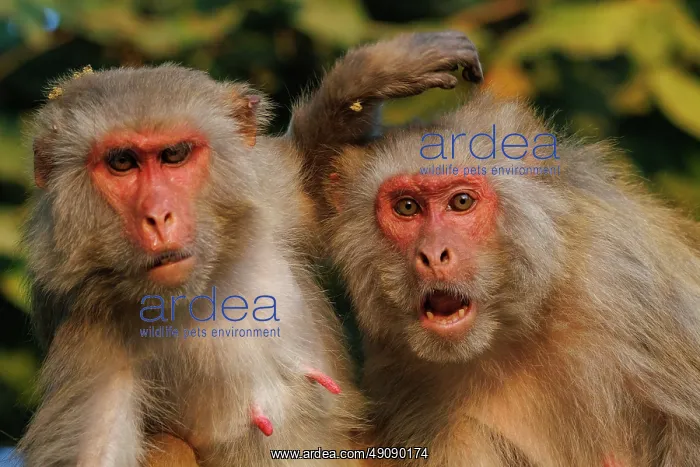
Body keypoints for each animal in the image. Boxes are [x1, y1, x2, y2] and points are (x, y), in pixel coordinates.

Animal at [16, 30, 485, 466]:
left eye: (173, 155)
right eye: (121, 163)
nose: (158, 217)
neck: (204, 285)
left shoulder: (267, 195)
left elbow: (318, 190)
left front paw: (370, 74)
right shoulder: (90, 330)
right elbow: (95, 451)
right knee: (166, 445)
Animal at [299, 90, 700, 466]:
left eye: (461, 202)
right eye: (407, 207)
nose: (432, 255)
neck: (515, 329)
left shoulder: (621, 282)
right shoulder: (400, 370)